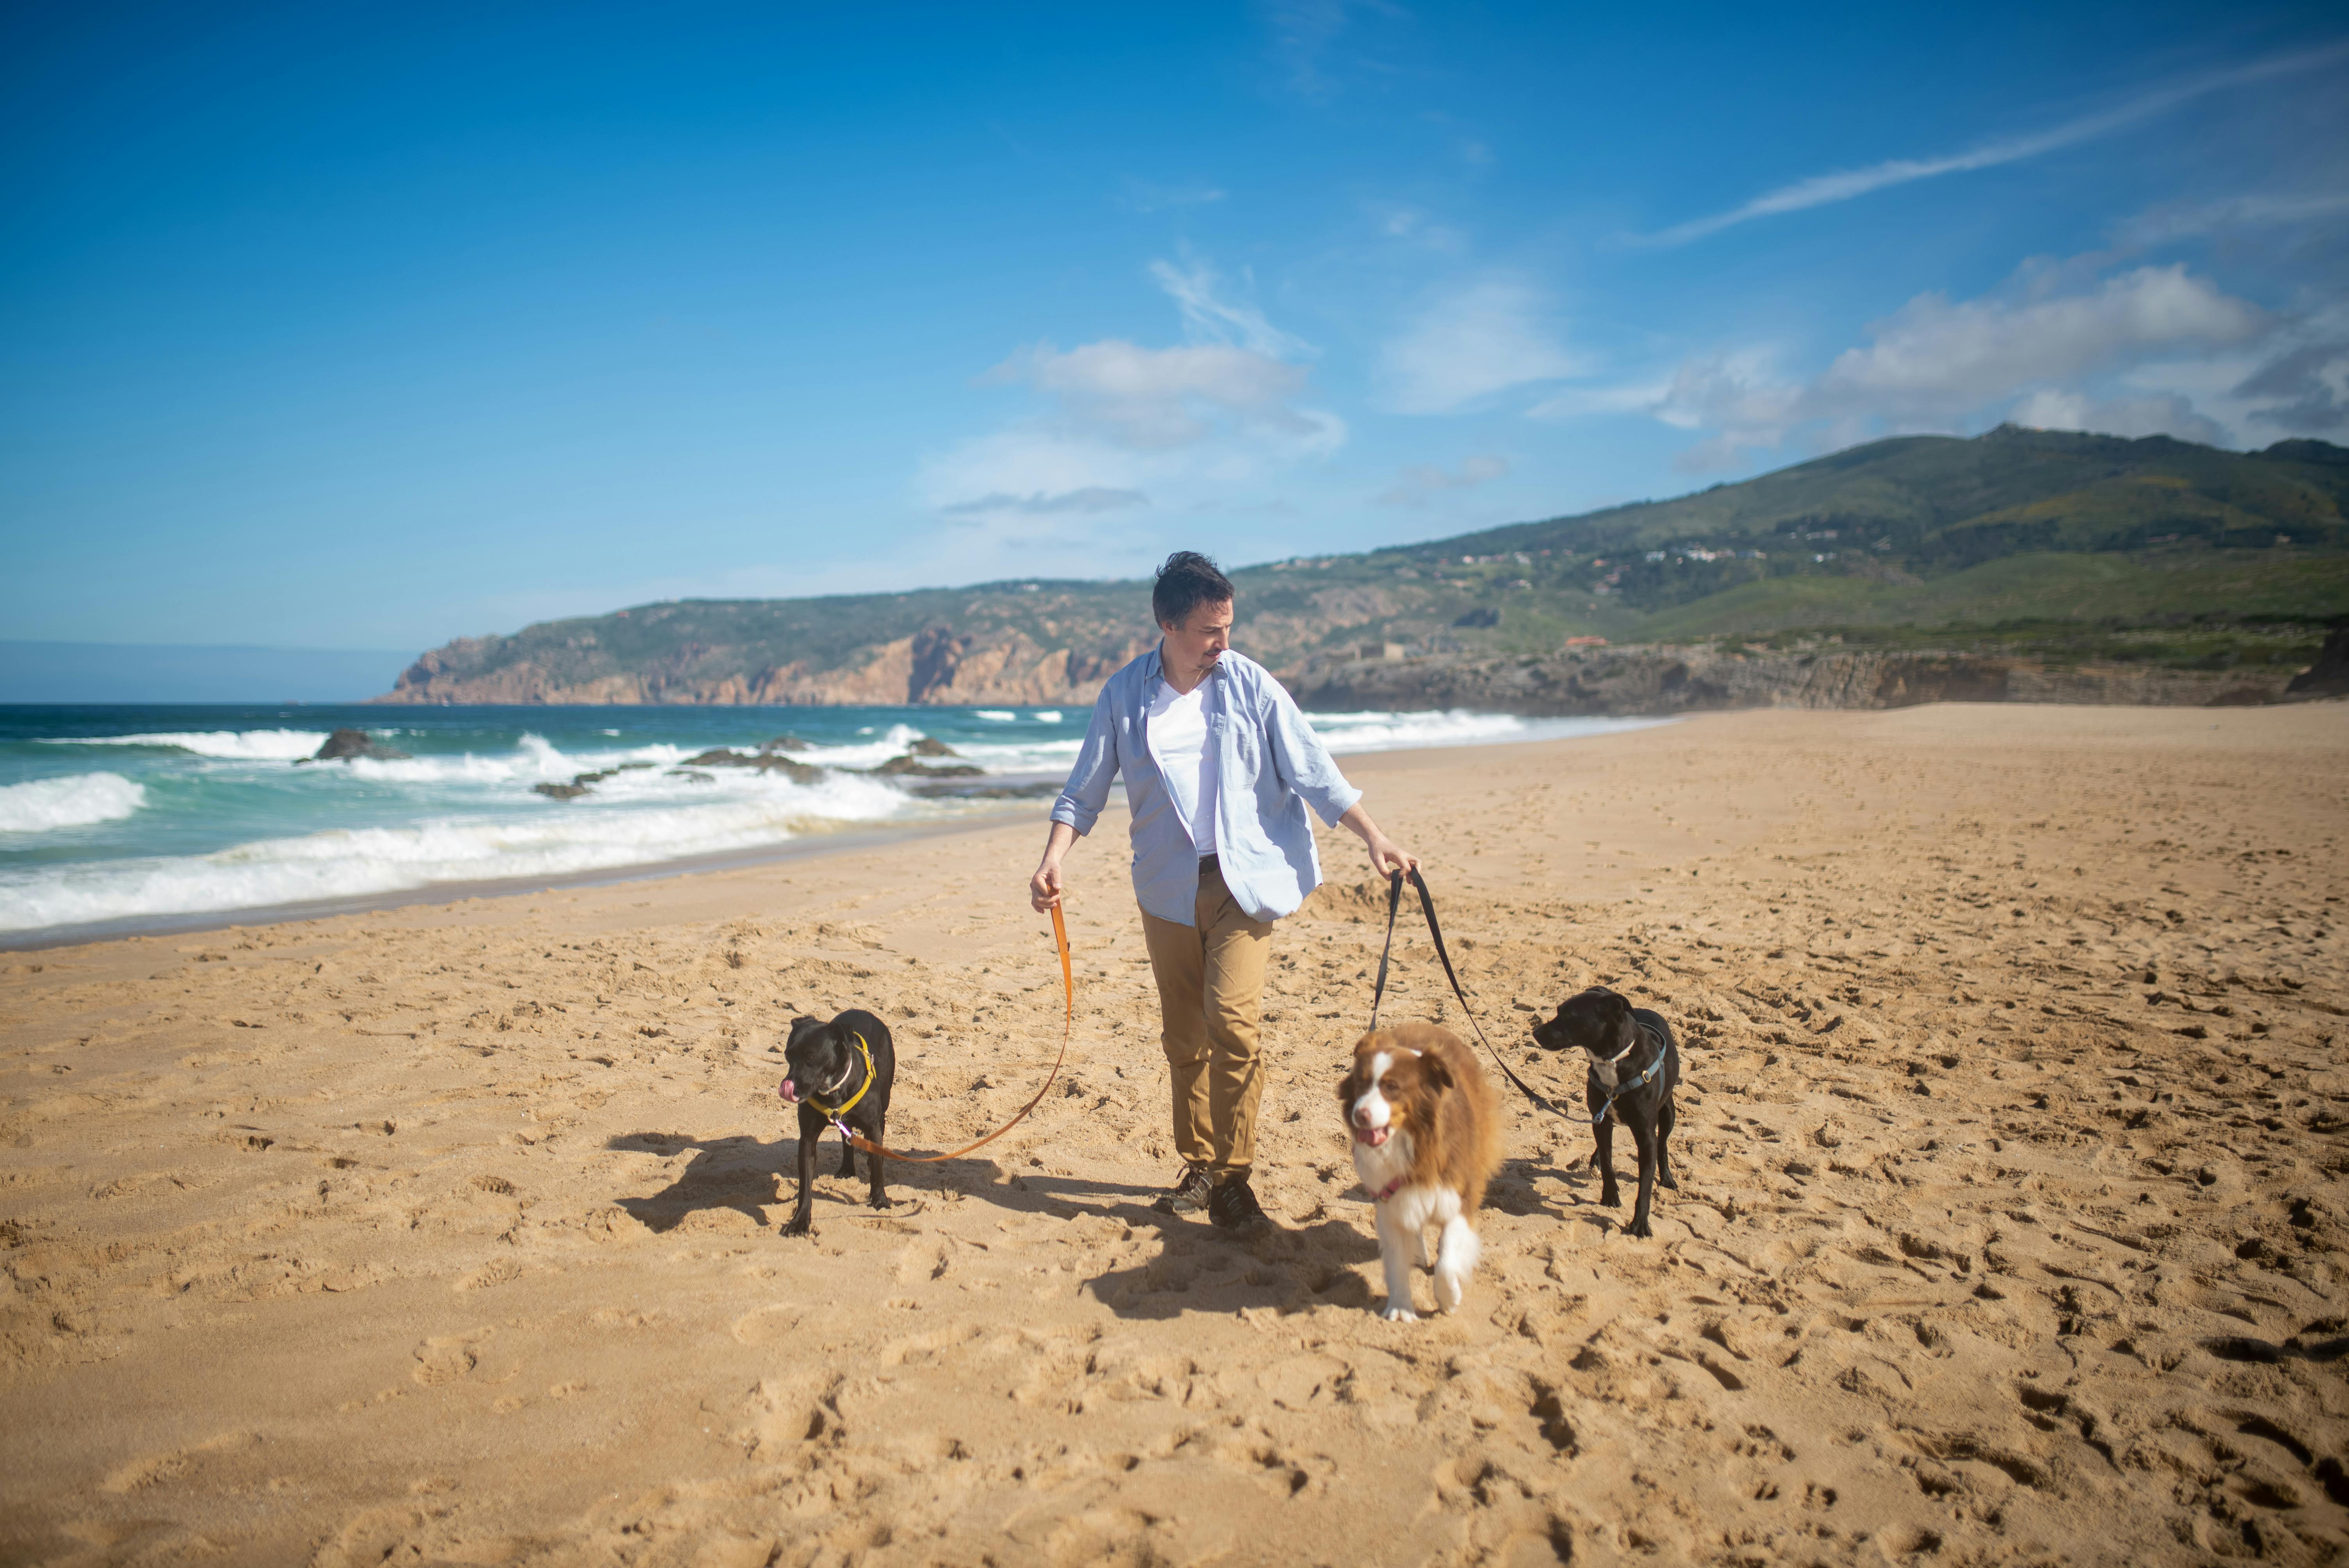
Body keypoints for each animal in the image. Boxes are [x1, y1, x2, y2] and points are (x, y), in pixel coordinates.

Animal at [775, 1009, 893, 1230]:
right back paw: (847, 1168)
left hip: (884, 1102)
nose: (788, 1087)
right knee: (846, 1138)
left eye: (810, 1056)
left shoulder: (872, 1127)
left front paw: (880, 1200)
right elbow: (805, 1185)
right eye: (788, 1055)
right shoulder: (808, 1139)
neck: (832, 1087)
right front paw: (800, 1220)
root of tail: (865, 1012)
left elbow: (877, 1172)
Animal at [1344, 1023, 1503, 1314]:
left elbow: (1447, 1259)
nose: (1360, 1115)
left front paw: (1449, 1299)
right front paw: (1400, 1309)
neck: (1412, 1141)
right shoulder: (1388, 1199)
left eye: (1392, 1087)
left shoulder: (1458, 1197)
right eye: (1361, 1083)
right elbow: (1396, 1261)